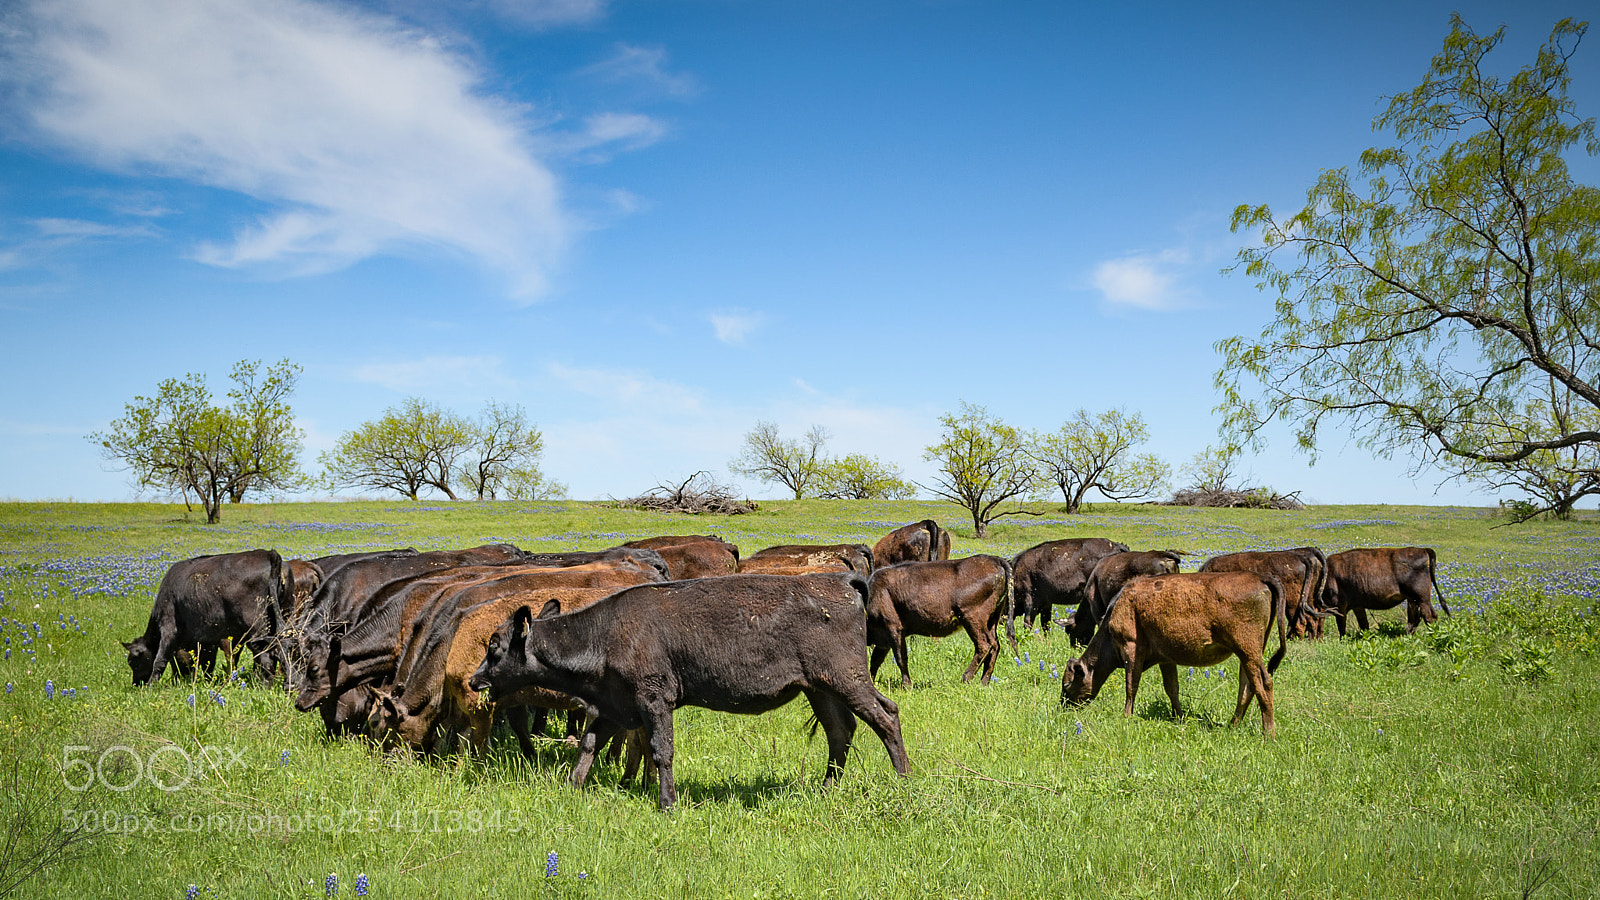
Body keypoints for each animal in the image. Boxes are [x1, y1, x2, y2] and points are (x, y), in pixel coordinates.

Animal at [124, 549, 288, 685]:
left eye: (133, 662)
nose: (136, 684)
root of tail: (268, 554)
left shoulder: (169, 628)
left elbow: (159, 660)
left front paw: (151, 686)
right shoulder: (208, 640)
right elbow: (208, 663)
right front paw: (208, 682)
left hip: (257, 627)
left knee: (266, 656)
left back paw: (263, 685)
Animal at [468, 572, 912, 810]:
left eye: (494, 647)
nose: (474, 680)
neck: (605, 635)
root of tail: (841, 580)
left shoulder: (654, 699)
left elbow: (661, 750)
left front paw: (667, 802)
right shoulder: (615, 705)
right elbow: (590, 744)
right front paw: (573, 788)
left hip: (847, 679)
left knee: (886, 716)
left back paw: (905, 780)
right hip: (820, 688)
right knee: (841, 731)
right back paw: (826, 789)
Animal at [865, 555, 1015, 687]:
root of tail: (994, 559)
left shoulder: (894, 629)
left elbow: (901, 658)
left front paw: (906, 685)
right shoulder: (883, 640)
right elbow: (875, 660)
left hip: (972, 618)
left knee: (985, 645)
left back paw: (966, 677)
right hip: (992, 621)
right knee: (995, 645)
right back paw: (984, 682)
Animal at [1061, 571, 1288, 736]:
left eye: (1067, 684)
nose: (1064, 706)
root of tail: (1260, 578)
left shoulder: (1131, 648)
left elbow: (1131, 685)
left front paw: (1126, 716)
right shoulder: (1166, 658)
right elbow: (1172, 688)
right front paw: (1179, 717)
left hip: (1248, 651)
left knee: (1263, 684)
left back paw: (1268, 732)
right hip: (1248, 654)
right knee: (1247, 686)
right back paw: (1232, 725)